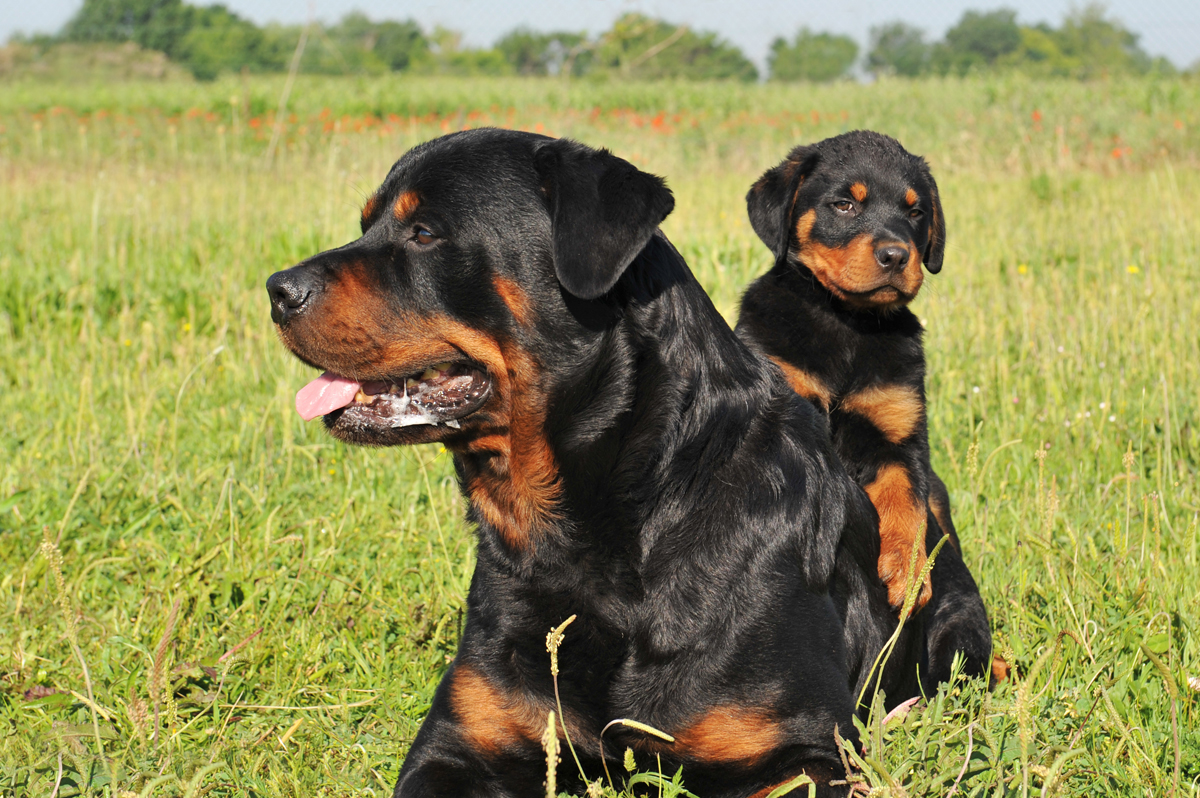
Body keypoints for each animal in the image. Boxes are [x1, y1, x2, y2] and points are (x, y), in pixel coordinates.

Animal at [739, 130, 993, 686]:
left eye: (915, 212)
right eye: (845, 205)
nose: (897, 255)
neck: (848, 324)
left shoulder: (899, 436)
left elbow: (905, 499)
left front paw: (908, 572)